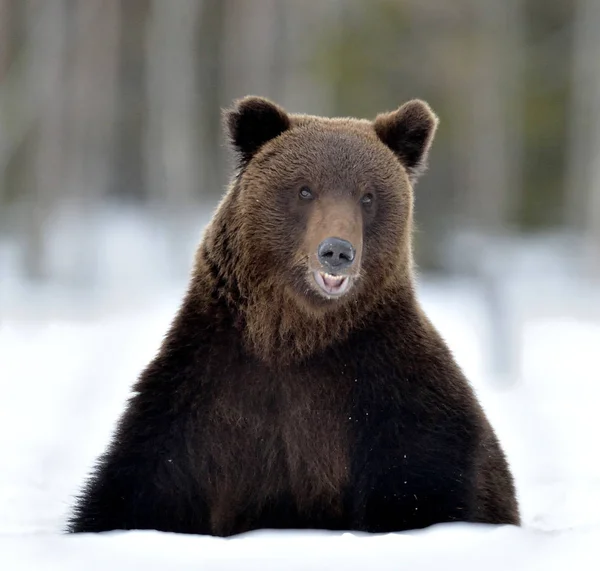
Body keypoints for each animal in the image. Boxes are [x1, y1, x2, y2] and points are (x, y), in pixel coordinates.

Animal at [68, 96, 520, 540]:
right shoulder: (206, 389)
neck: (295, 336)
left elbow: (426, 485)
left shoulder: (393, 391)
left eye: (368, 195)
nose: (337, 251)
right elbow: (142, 488)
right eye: (305, 189)